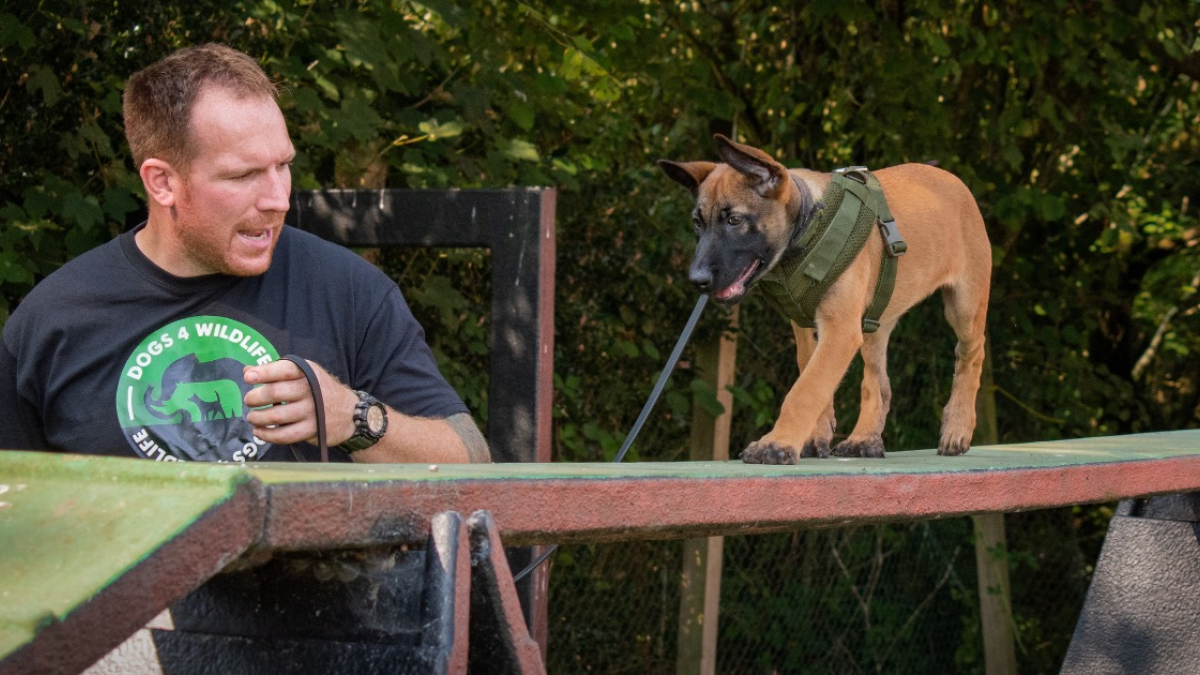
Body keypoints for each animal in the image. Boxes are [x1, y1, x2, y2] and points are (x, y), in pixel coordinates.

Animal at [662, 135, 988, 461]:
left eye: (734, 220)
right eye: (697, 223)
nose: (698, 280)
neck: (807, 228)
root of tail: (951, 179)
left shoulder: (839, 329)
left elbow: (806, 389)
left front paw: (777, 443)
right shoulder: (807, 326)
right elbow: (813, 378)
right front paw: (812, 437)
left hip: (964, 308)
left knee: (971, 355)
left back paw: (957, 429)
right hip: (875, 322)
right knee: (878, 384)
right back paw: (864, 439)